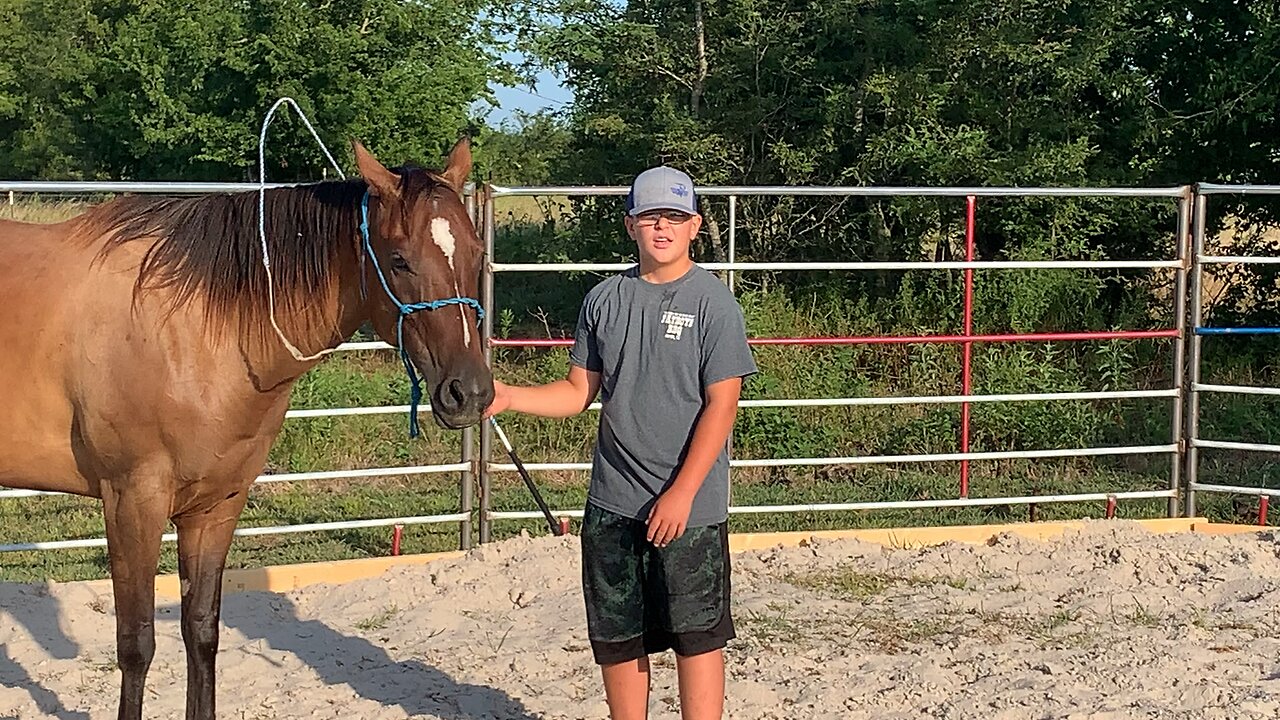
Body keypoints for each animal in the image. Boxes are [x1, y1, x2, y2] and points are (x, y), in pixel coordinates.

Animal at [0, 137, 494, 712]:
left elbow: (201, 632)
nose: (470, 393)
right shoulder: (131, 503)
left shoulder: (216, 507)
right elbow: (136, 645)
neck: (195, 326)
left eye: (477, 254)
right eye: (399, 261)